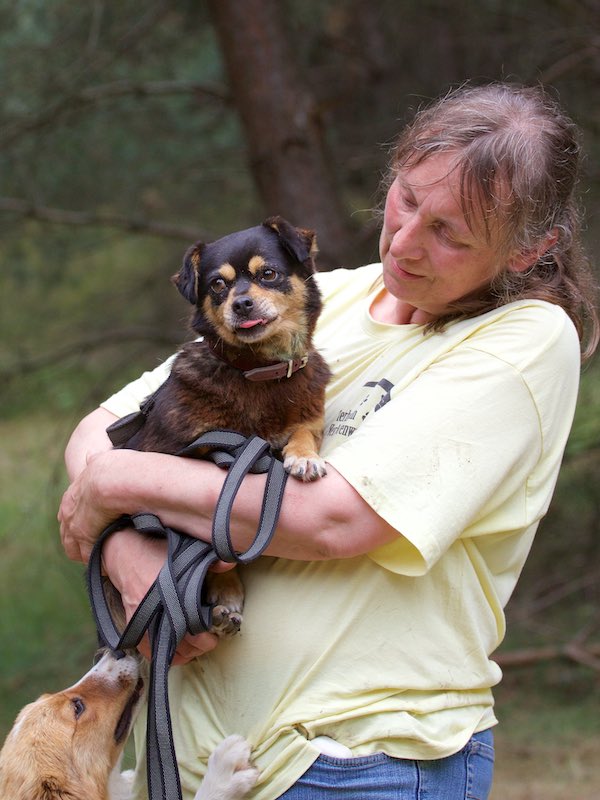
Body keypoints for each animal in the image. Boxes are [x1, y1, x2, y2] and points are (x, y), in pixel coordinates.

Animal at [106, 215, 331, 635]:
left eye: (268, 273)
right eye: (217, 285)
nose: (241, 303)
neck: (258, 371)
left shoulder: (308, 419)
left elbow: (303, 432)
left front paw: (304, 458)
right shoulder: (175, 449)